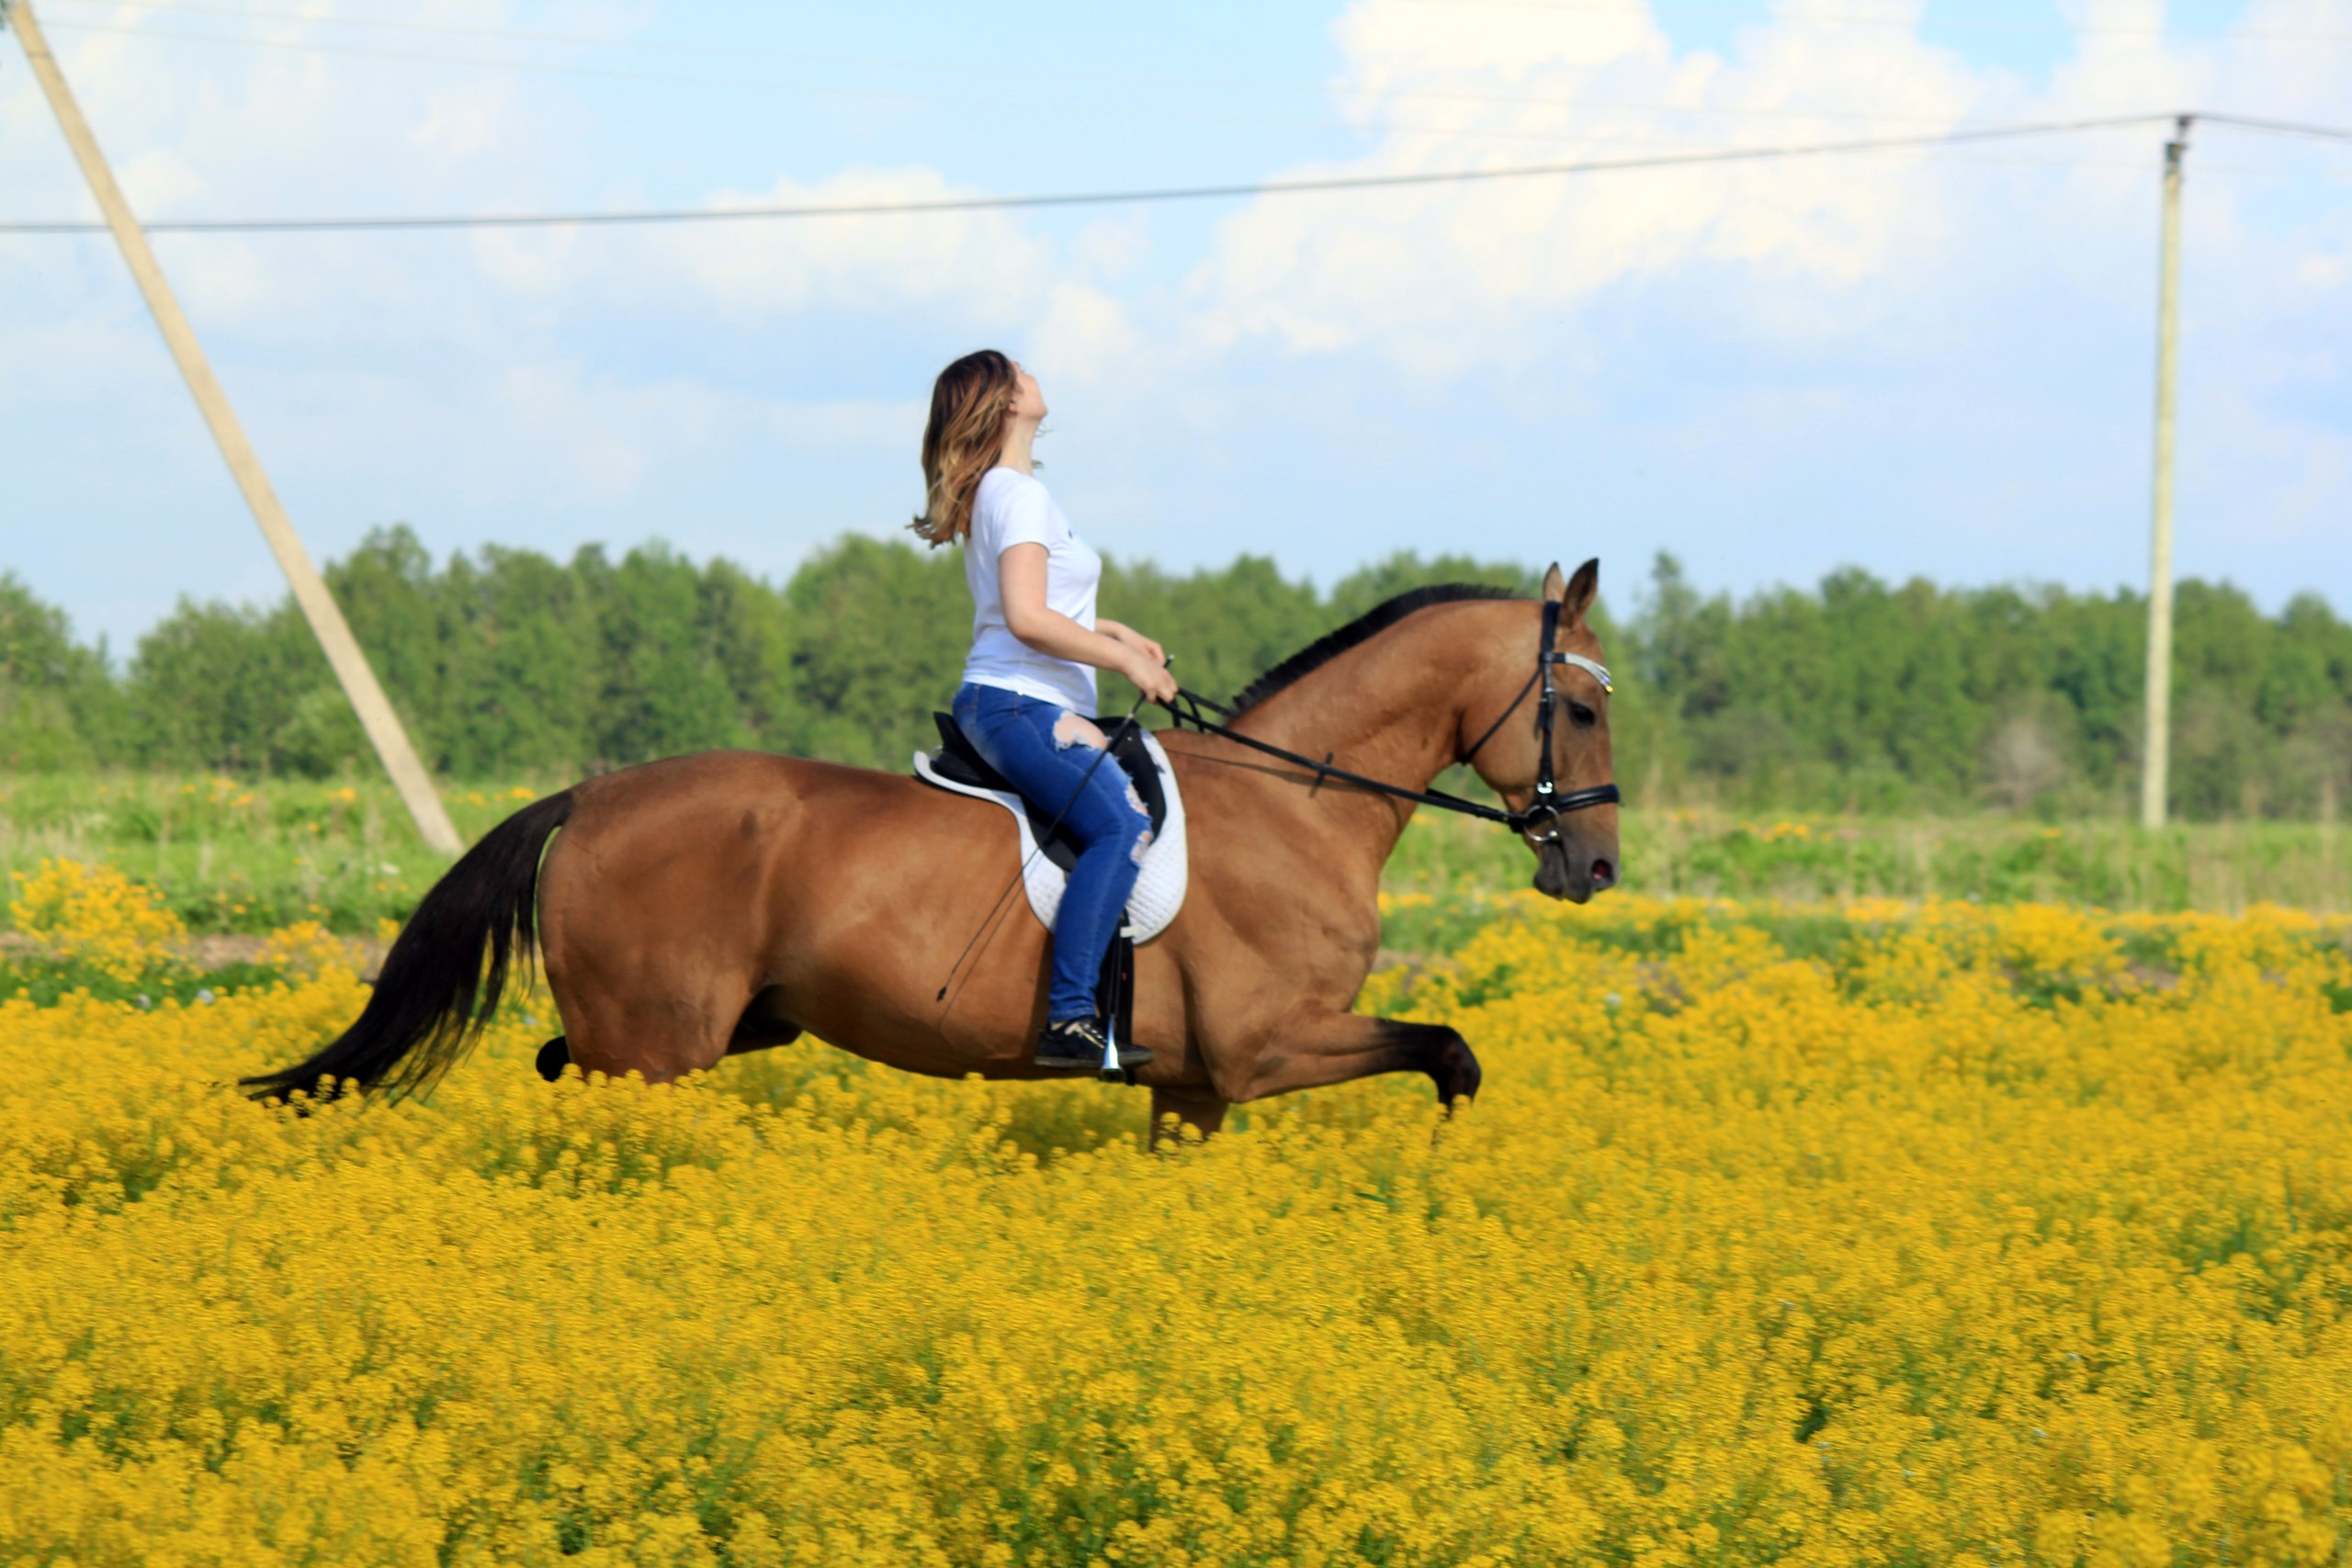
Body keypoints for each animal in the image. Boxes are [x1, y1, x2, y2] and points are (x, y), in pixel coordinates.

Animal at [253, 564, 1618, 1142]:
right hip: (653, 1047)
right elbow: (1452, 1053)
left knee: (555, 1063)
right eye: (1582, 707)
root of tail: (588, 796)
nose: (1594, 868)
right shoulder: (1268, 1043)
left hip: (711, 1026)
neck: (1299, 803)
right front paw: (1442, 1161)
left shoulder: (1198, 1082)